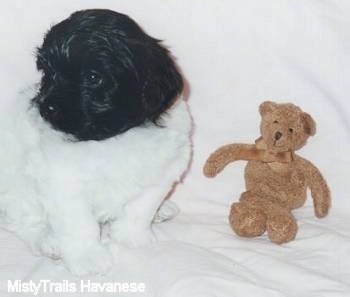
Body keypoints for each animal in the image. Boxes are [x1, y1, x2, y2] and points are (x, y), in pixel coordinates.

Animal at [0, 8, 191, 272]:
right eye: (49, 73)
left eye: (92, 77)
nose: (46, 107)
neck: (113, 137)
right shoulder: (64, 184)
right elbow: (79, 225)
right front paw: (87, 257)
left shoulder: (164, 172)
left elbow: (140, 209)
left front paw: (133, 237)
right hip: (15, 189)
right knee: (21, 220)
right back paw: (48, 241)